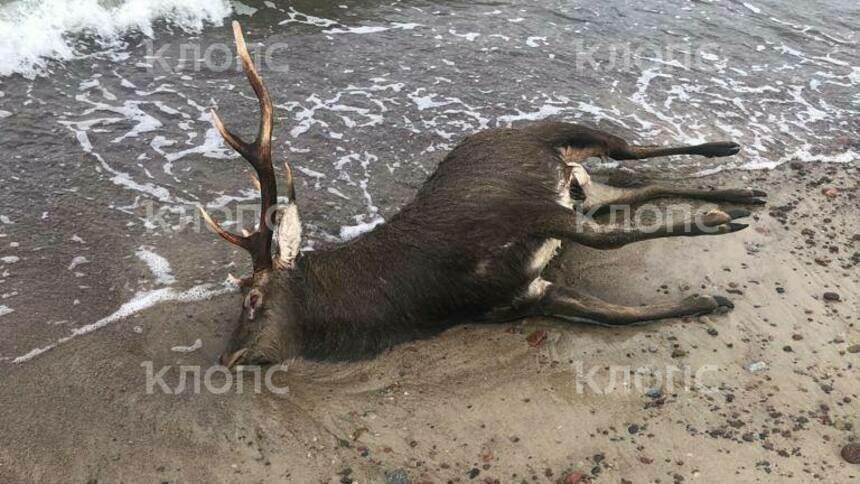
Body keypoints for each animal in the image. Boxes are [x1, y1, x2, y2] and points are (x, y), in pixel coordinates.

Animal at [200, 20, 764, 364]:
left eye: (251, 298)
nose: (227, 357)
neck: (421, 297)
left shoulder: (526, 212)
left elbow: (612, 241)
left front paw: (715, 224)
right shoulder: (524, 296)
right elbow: (617, 314)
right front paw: (708, 297)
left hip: (565, 134)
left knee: (631, 150)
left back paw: (728, 151)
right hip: (588, 188)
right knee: (641, 187)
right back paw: (744, 191)